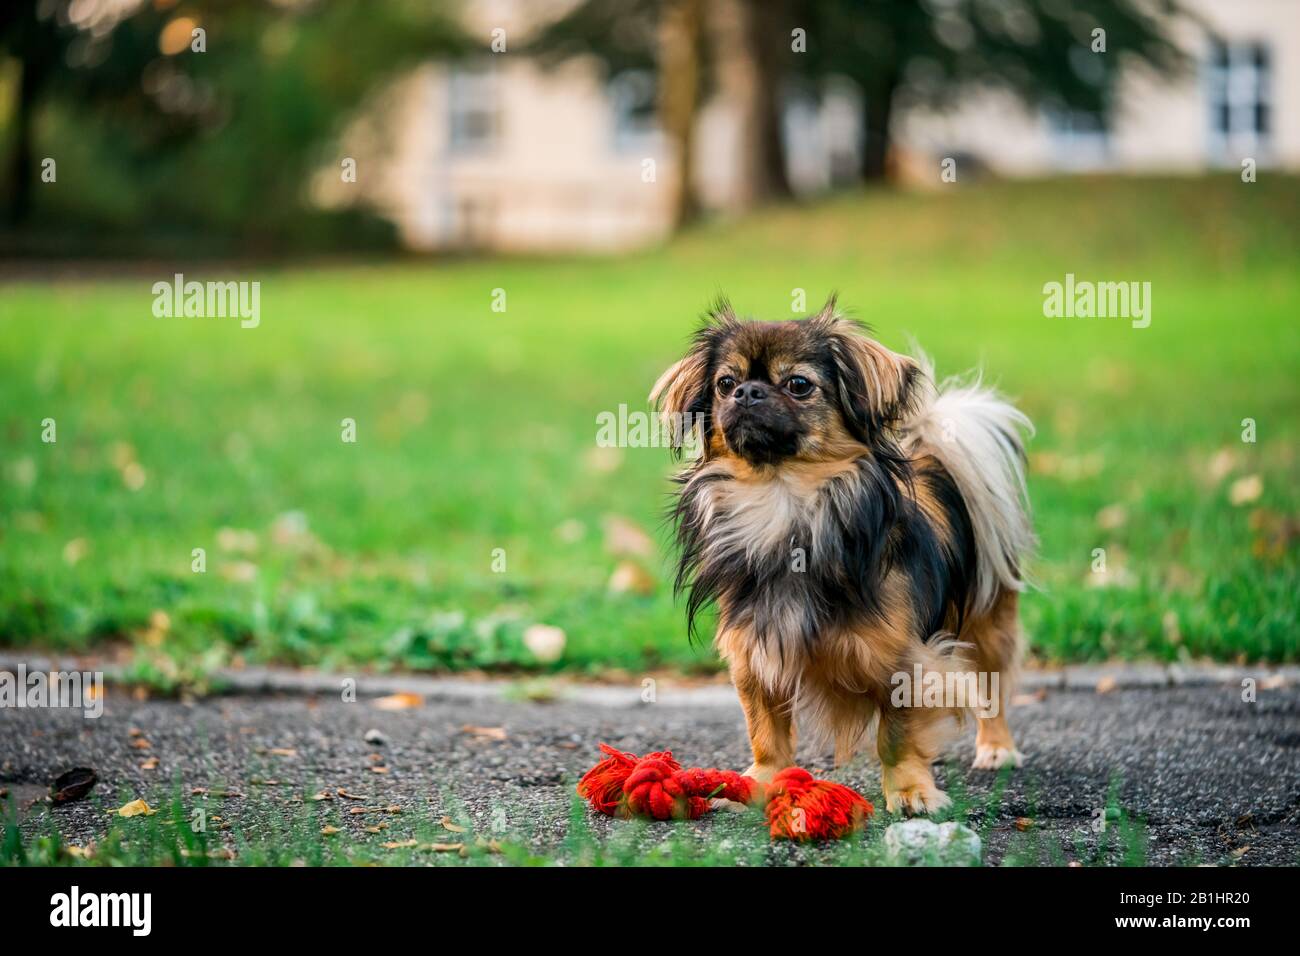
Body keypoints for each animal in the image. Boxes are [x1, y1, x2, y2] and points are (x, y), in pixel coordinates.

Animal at [650, 295, 1034, 811]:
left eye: (798, 384)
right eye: (725, 383)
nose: (747, 392)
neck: (784, 501)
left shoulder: (904, 662)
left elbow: (896, 735)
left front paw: (910, 791)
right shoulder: (753, 654)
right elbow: (766, 730)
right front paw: (759, 781)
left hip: (987, 621)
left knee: (992, 685)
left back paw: (996, 748)